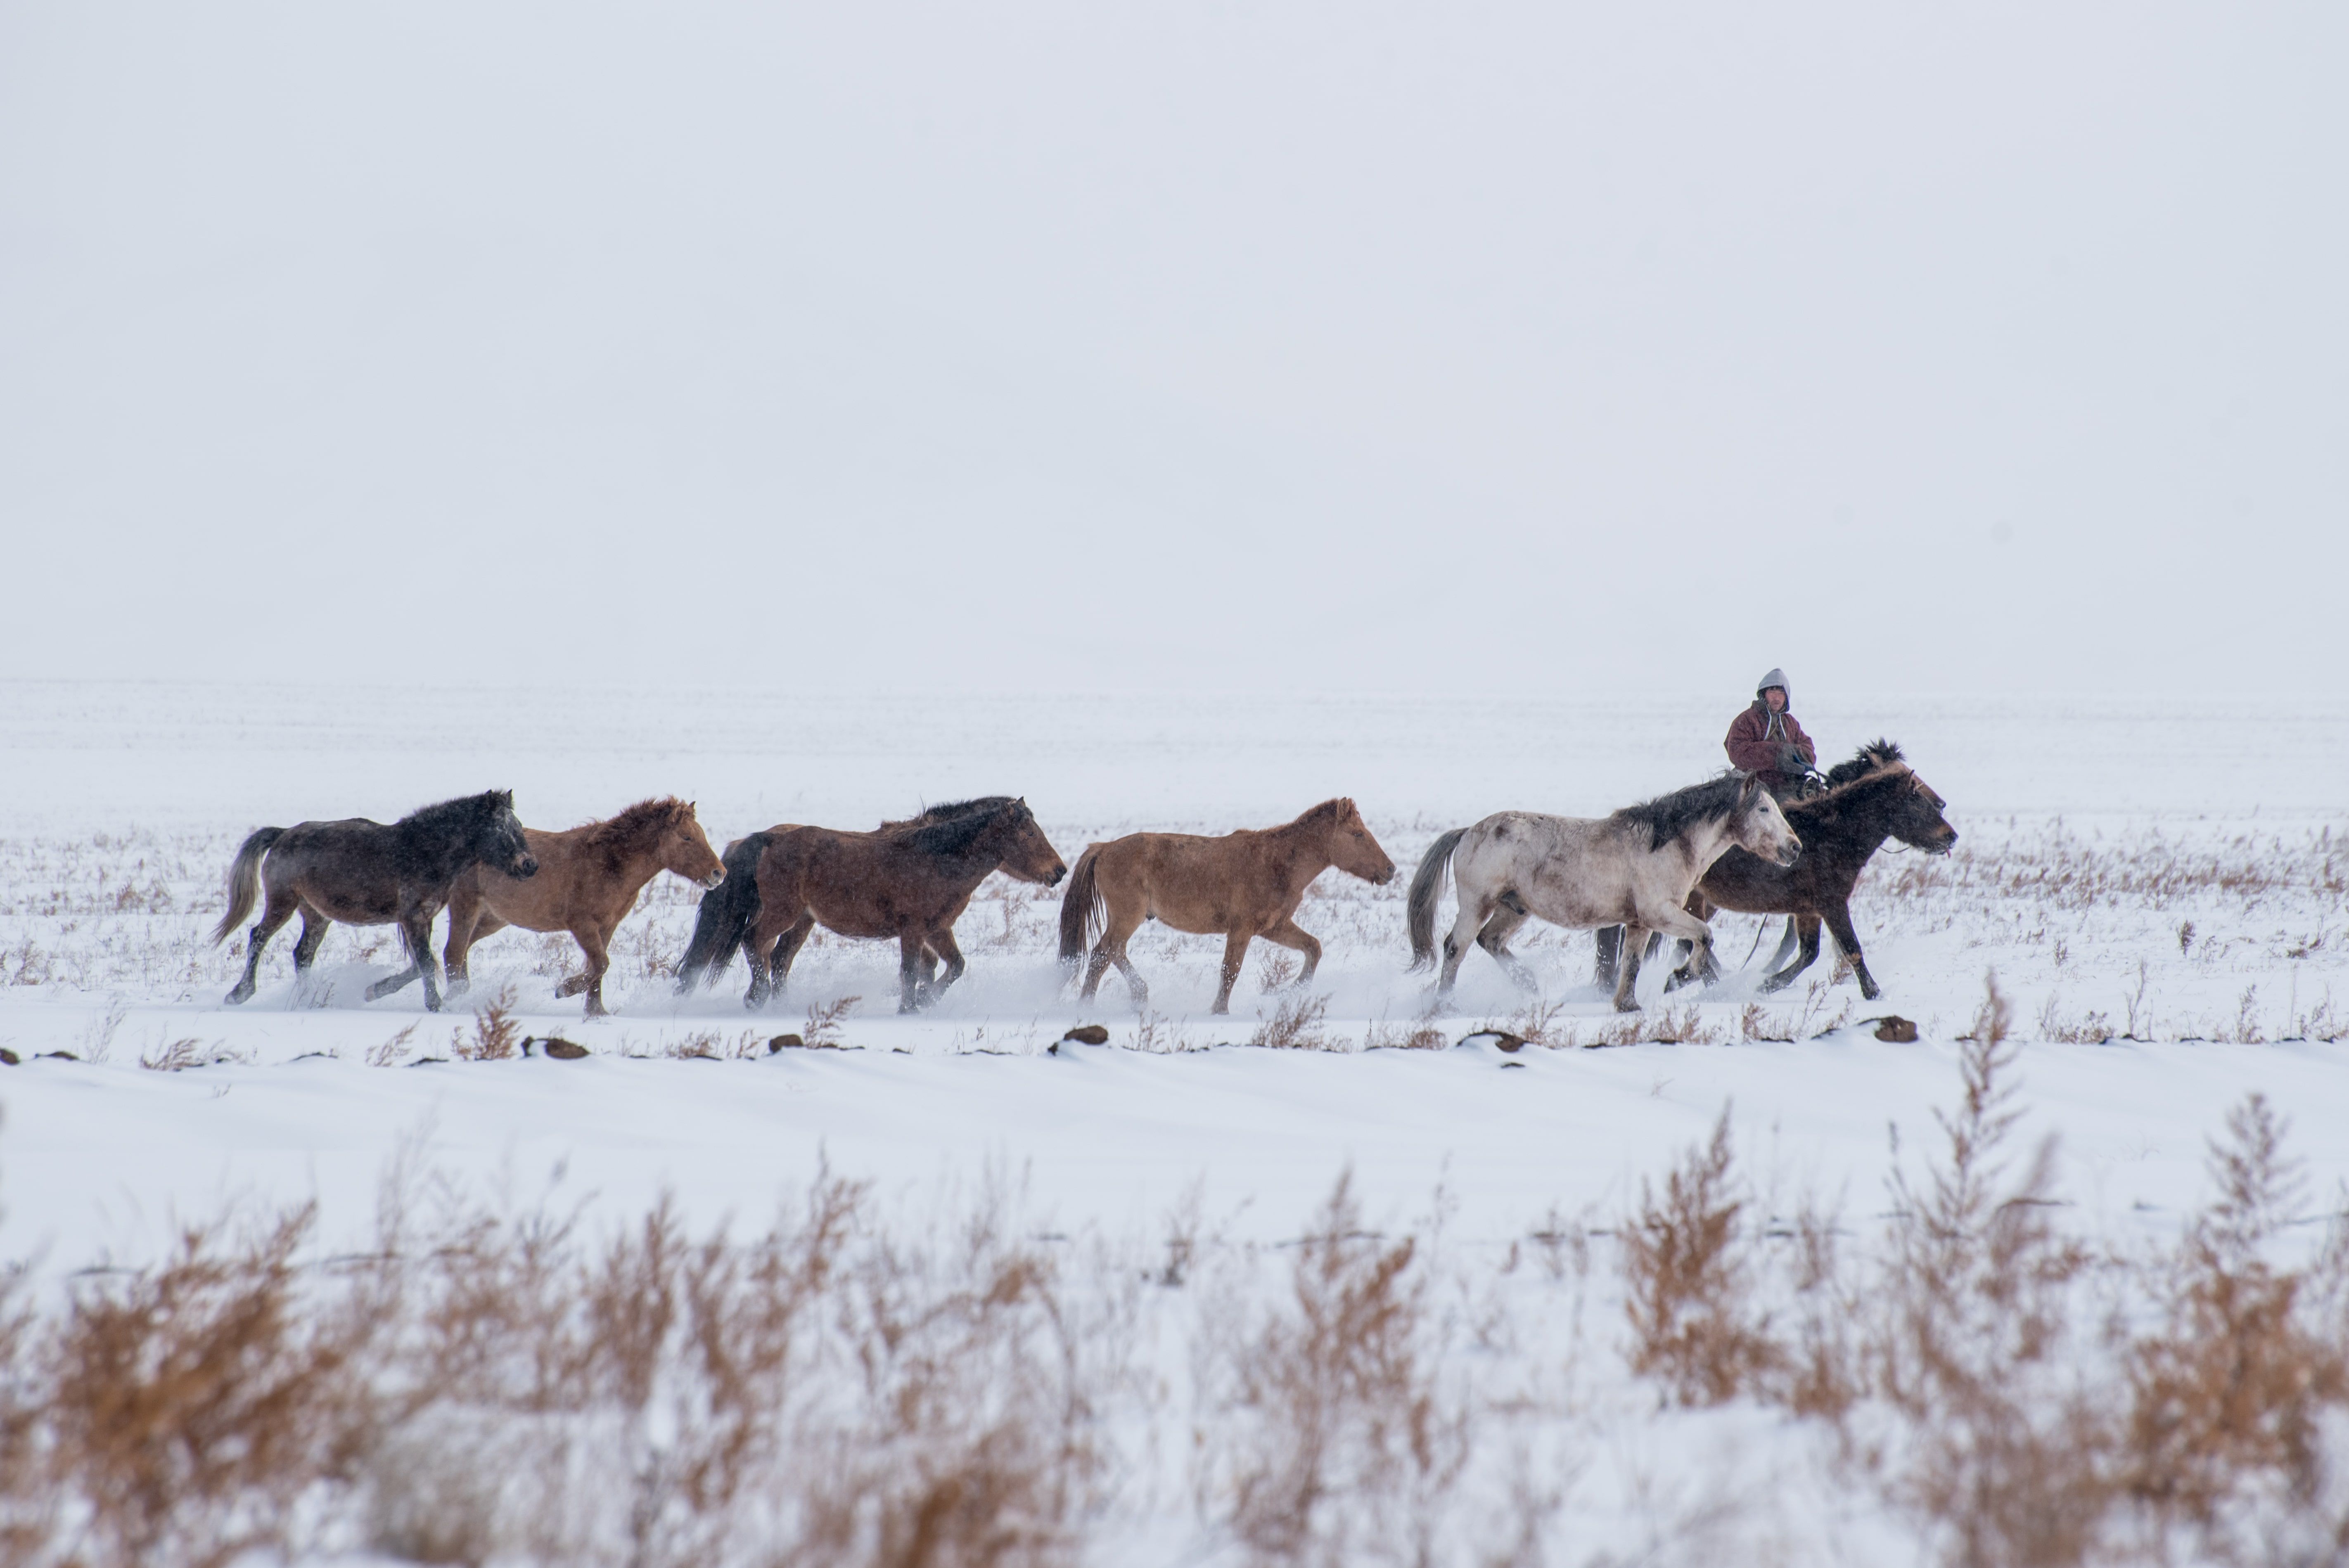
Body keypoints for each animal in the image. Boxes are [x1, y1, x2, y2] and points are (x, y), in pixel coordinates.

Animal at [211, 789, 538, 1009]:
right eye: (500, 828)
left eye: (519, 825)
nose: (530, 866)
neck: (424, 852)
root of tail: (282, 834)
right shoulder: (412, 917)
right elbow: (425, 962)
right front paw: (435, 1005)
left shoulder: (423, 918)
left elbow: (420, 964)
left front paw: (375, 991)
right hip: (283, 903)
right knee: (258, 937)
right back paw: (239, 993)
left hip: (317, 915)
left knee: (302, 954)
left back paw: (307, 998)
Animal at [441, 798, 723, 1018]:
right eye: (687, 837)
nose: (719, 873)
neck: (609, 864)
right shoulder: (582, 925)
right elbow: (600, 964)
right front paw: (564, 989)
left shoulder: (607, 926)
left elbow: (598, 968)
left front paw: (597, 1012)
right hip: (466, 906)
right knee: (453, 953)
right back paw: (454, 1002)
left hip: (492, 918)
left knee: (461, 951)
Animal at [676, 798, 1071, 1018]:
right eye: (1029, 833)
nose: (1059, 872)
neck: (935, 860)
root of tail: (768, 839)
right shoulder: (913, 930)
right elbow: (910, 971)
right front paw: (909, 1008)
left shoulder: (937, 929)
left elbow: (954, 966)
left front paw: (926, 1000)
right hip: (782, 912)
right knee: (753, 941)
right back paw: (756, 998)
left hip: (803, 921)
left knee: (780, 958)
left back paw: (780, 1004)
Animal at [1062, 798, 1390, 1018]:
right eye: (1358, 834)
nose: (1390, 870)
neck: (1278, 863)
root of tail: (1103, 848)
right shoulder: (1242, 929)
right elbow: (1231, 970)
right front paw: (1220, 1012)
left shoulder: (1274, 928)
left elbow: (1313, 948)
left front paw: (1286, 991)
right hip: (1127, 917)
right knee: (1104, 954)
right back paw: (1105, 1003)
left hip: (1125, 919)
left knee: (1110, 953)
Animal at [1409, 775, 1794, 1018]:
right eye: (1763, 809)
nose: (1794, 847)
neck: (1666, 844)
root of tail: (1467, 832)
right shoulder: (1660, 913)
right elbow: (1703, 936)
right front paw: (1681, 976)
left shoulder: (1640, 923)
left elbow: (1632, 963)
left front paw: (1628, 1006)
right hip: (1478, 904)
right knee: (1455, 948)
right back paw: (1446, 1006)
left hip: (1515, 909)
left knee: (1490, 941)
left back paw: (1529, 985)